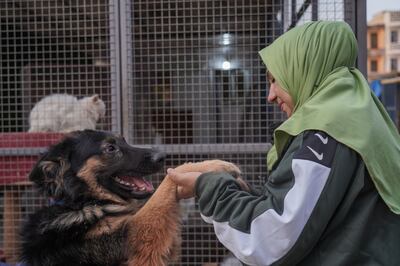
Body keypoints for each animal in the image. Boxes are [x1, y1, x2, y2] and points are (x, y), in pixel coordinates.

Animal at [20, 130, 245, 264]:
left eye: (124, 141)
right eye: (110, 148)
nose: (162, 157)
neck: (85, 203)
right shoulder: (137, 236)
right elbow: (165, 185)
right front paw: (214, 165)